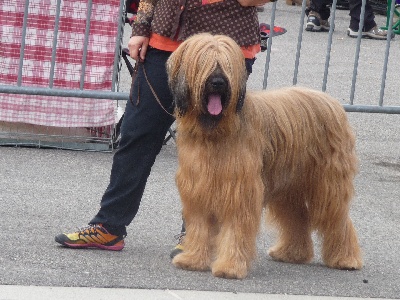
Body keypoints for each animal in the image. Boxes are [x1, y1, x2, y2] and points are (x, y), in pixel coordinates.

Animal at [166, 32, 362, 278]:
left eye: (226, 65)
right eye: (205, 61)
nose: (218, 82)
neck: (216, 131)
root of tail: (332, 101)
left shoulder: (240, 189)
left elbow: (236, 228)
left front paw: (230, 266)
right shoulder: (198, 189)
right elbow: (199, 226)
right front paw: (192, 259)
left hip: (327, 184)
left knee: (337, 218)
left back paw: (346, 258)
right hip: (289, 186)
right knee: (297, 217)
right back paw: (292, 253)